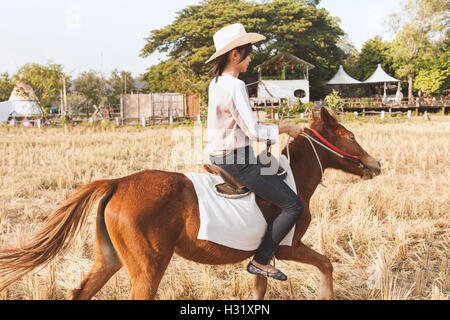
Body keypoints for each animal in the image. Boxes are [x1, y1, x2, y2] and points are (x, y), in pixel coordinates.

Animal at [0, 108, 380, 300]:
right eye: (349, 136)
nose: (375, 163)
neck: (292, 179)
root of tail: (119, 183)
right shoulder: (288, 246)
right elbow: (326, 264)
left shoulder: (263, 259)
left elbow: (261, 287)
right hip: (148, 268)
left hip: (109, 259)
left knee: (81, 292)